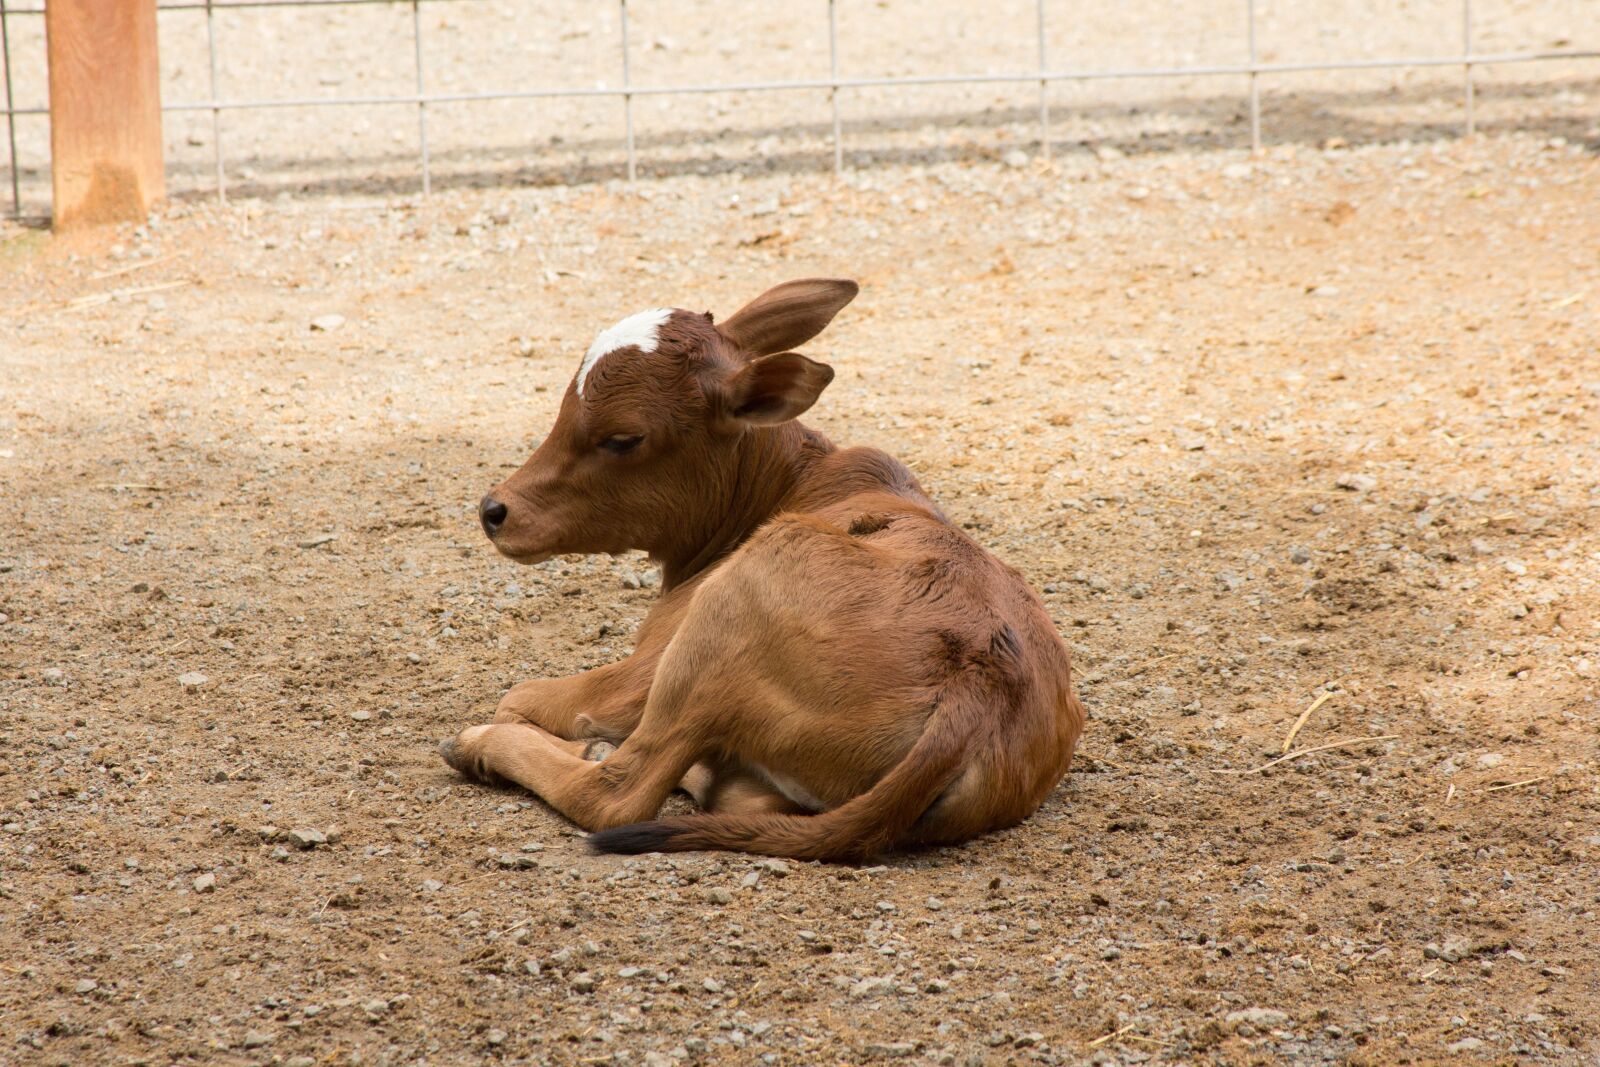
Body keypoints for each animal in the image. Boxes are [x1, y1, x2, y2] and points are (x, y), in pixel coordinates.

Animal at [441, 278, 1088, 857]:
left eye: (623, 438)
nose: (496, 510)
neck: (792, 484)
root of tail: (979, 691)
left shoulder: (638, 677)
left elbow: (521, 696)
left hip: (721, 625)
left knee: (617, 793)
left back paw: (493, 747)